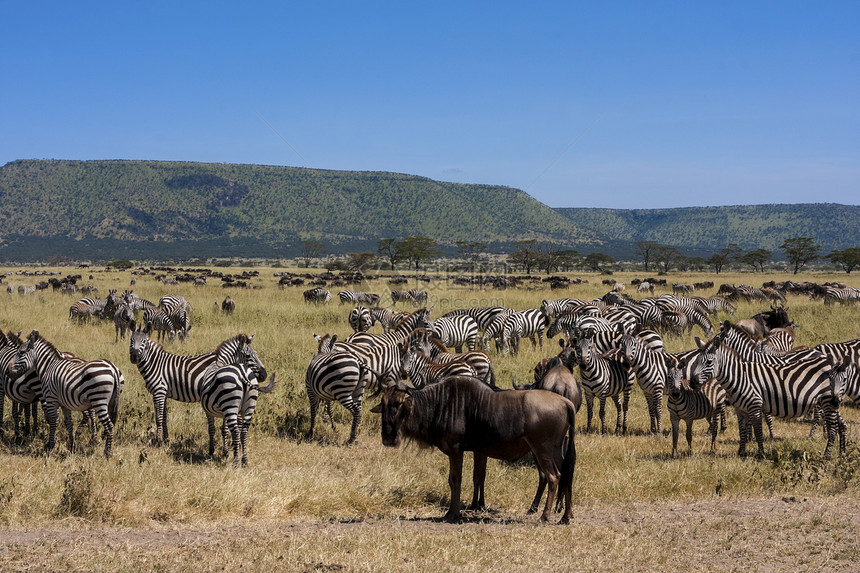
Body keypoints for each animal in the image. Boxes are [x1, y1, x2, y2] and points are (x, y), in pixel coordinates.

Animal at [128, 328, 262, 444]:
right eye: (131, 340)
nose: (134, 357)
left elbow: (158, 417)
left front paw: (159, 441)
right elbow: (164, 416)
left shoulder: (159, 391)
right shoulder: (163, 393)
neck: (156, 364)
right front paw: (165, 438)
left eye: (143, 342)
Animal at [688, 338, 844, 458]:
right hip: (831, 402)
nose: (692, 383)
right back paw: (842, 454)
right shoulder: (740, 410)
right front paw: (741, 453)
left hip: (828, 401)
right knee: (842, 425)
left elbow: (758, 432)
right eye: (696, 361)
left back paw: (827, 456)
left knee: (833, 429)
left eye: (709, 362)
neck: (740, 377)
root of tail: (831, 361)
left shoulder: (755, 406)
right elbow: (742, 432)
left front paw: (761, 454)